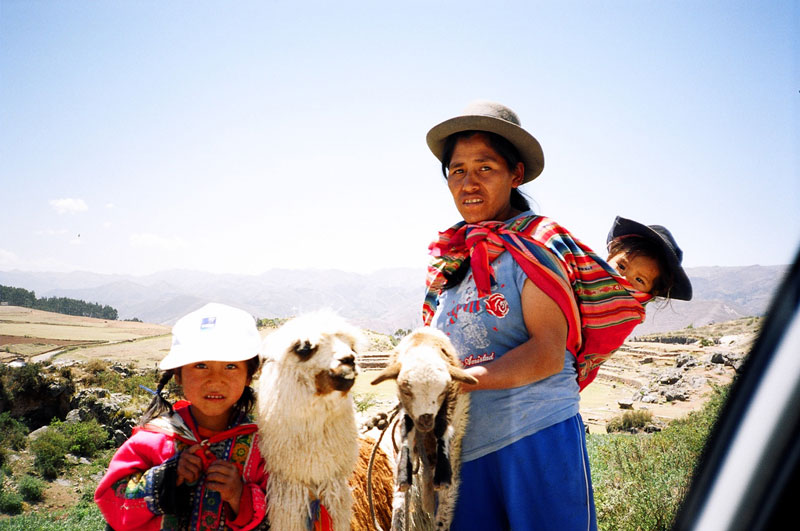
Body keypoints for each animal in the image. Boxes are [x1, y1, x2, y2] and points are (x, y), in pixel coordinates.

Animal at [372, 326, 478, 528]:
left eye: (442, 391)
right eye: (406, 390)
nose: (426, 420)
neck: (423, 343)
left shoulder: (452, 407)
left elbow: (443, 430)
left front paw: (443, 476)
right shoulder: (406, 411)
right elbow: (406, 432)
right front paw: (403, 475)